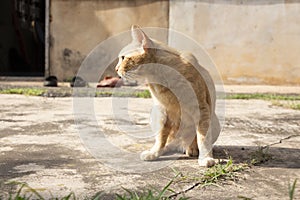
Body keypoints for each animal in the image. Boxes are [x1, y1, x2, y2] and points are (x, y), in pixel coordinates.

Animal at [115, 25, 220, 168]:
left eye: (123, 58)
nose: (116, 69)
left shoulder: (201, 109)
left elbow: (203, 138)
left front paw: (205, 158)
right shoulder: (164, 111)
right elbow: (161, 138)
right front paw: (154, 153)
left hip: (214, 122)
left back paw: (192, 149)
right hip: (156, 113)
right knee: (169, 143)